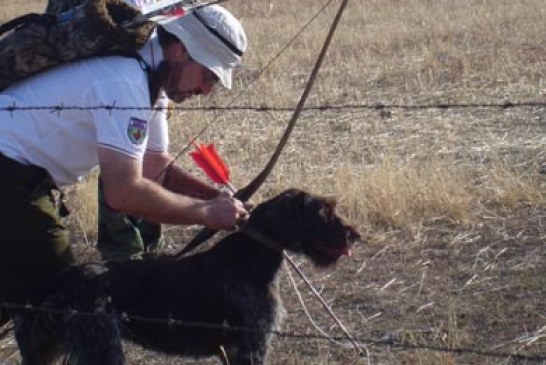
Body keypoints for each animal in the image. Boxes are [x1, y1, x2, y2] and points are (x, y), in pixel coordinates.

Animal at [13, 189, 356, 362]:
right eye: (324, 211)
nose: (355, 235)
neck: (252, 256)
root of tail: (59, 282)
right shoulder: (250, 346)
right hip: (101, 349)